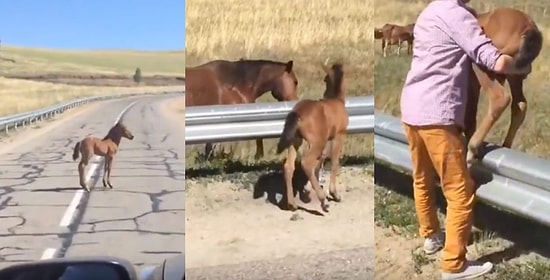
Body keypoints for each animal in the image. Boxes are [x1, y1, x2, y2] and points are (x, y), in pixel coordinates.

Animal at [276, 63, 350, 212]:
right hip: (316, 142)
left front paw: (308, 189)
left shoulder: (327, 139)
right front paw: (334, 194)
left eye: (325, 78)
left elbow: (321, 160)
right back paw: (323, 202)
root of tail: (298, 112)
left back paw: (292, 204)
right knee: (306, 163)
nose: (324, 94)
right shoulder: (338, 136)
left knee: (289, 167)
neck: (336, 101)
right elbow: (334, 162)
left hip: (296, 141)